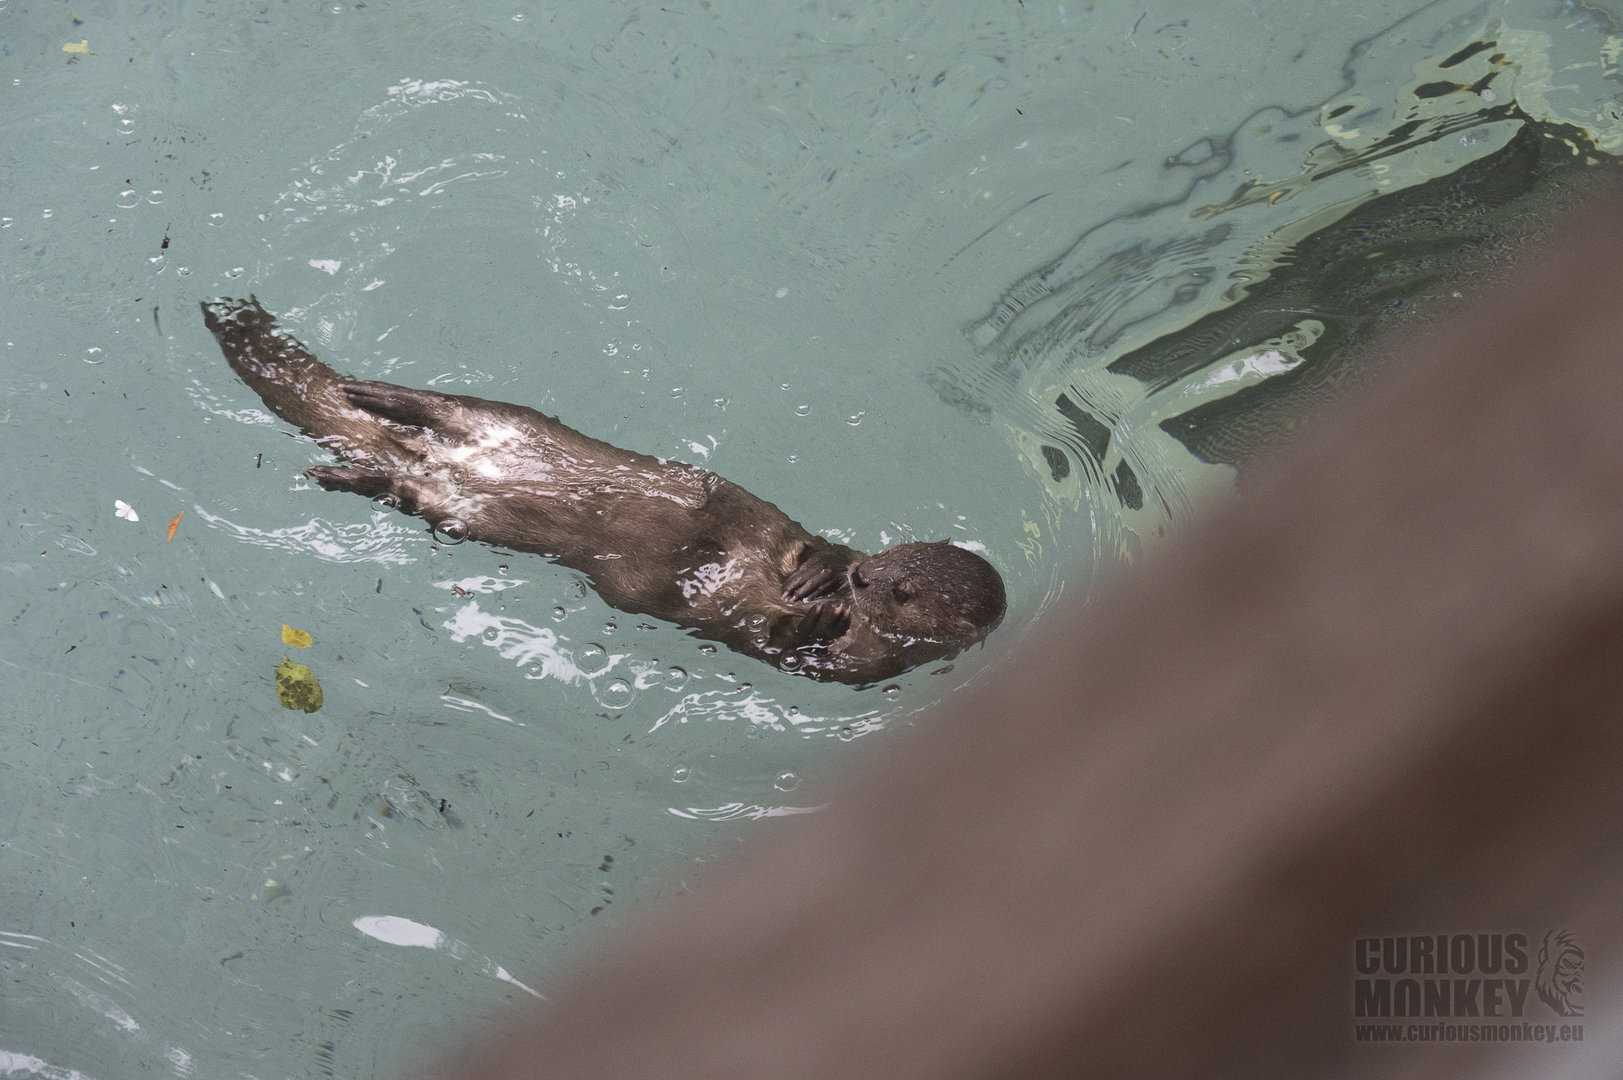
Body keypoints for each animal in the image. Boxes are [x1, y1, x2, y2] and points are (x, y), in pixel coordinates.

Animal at [201, 297, 1005, 685]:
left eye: (902, 591)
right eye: (890, 559)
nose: (862, 578)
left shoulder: (860, 669)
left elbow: (793, 648)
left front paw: (817, 611)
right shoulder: (795, 537)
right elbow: (807, 544)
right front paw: (817, 579)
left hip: (454, 507)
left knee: (400, 486)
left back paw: (345, 472)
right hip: (505, 416)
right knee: (439, 404)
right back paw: (371, 392)